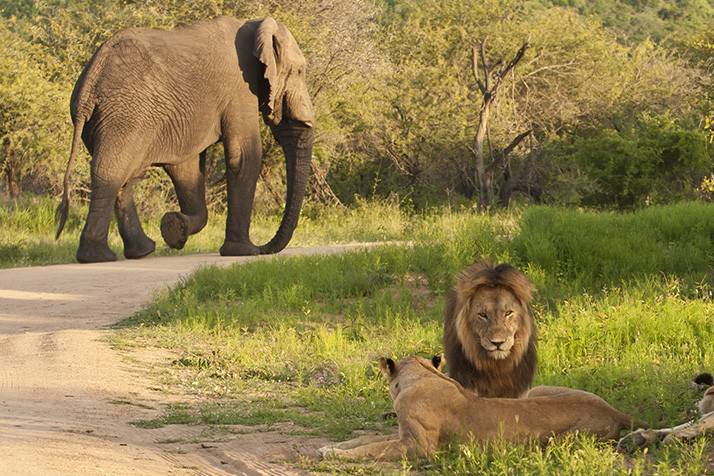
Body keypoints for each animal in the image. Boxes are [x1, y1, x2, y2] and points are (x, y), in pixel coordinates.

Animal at [55, 16, 312, 264]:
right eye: (300, 71)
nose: (263, 248)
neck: (256, 25)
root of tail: (91, 81)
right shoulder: (239, 87)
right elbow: (244, 156)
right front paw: (243, 252)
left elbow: (187, 169)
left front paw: (174, 228)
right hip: (125, 116)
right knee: (111, 171)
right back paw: (98, 257)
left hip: (112, 120)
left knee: (124, 175)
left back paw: (140, 251)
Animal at [318, 354, 636, 462]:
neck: (423, 375)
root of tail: (616, 412)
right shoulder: (402, 434)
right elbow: (365, 439)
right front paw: (331, 447)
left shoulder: (418, 446)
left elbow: (373, 448)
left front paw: (334, 454)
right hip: (535, 390)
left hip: (563, 440)